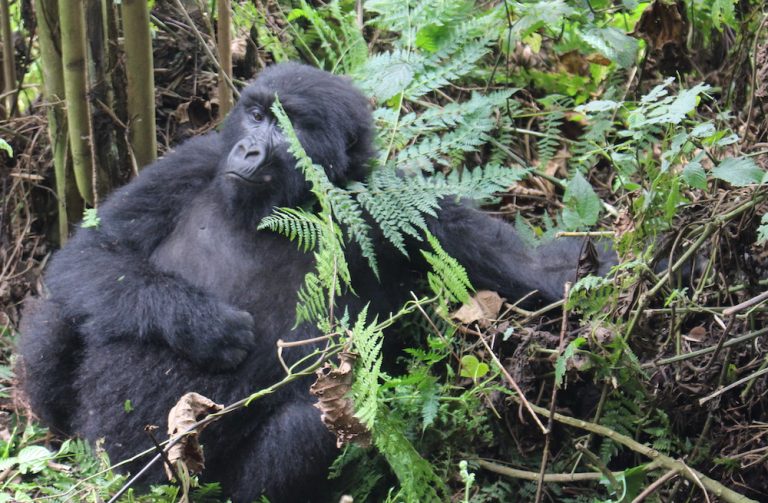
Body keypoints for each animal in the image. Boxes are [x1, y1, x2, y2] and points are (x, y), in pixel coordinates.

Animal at [19, 64, 608, 503]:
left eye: (287, 125)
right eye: (256, 115)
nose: (249, 151)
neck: (291, 205)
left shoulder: (394, 203)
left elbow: (523, 269)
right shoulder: (193, 159)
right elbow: (92, 252)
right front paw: (206, 326)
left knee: (309, 425)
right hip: (105, 448)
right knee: (59, 311)